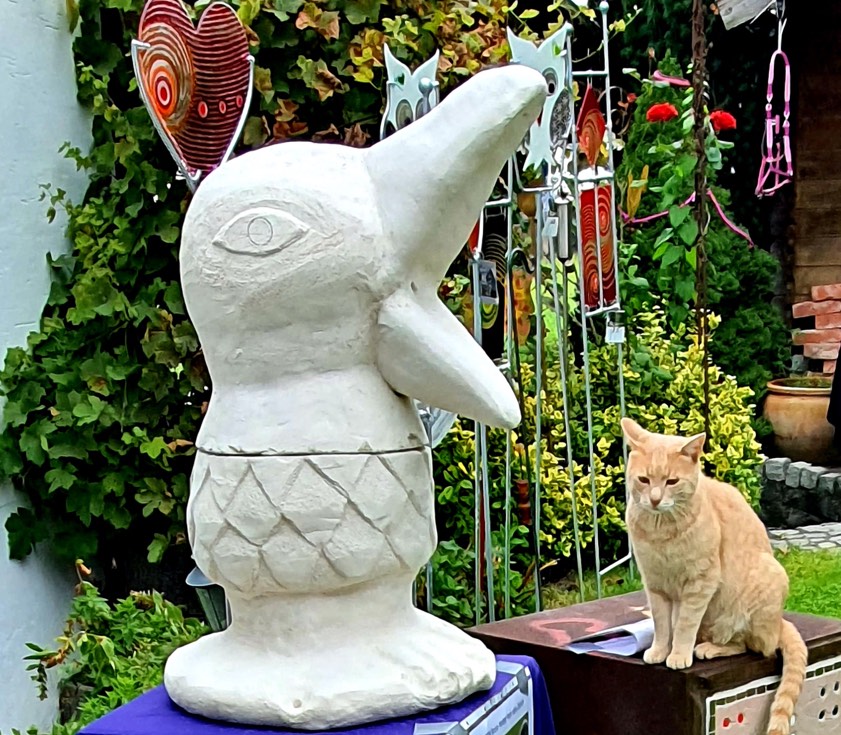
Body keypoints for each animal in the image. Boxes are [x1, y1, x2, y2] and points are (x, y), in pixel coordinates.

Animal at [621, 417, 807, 735]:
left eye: (672, 482)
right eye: (644, 480)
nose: (655, 500)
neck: (661, 531)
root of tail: (780, 622)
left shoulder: (700, 582)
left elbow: (684, 625)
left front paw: (678, 654)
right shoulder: (655, 585)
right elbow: (662, 625)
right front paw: (660, 650)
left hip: (756, 593)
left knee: (752, 647)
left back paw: (707, 649)